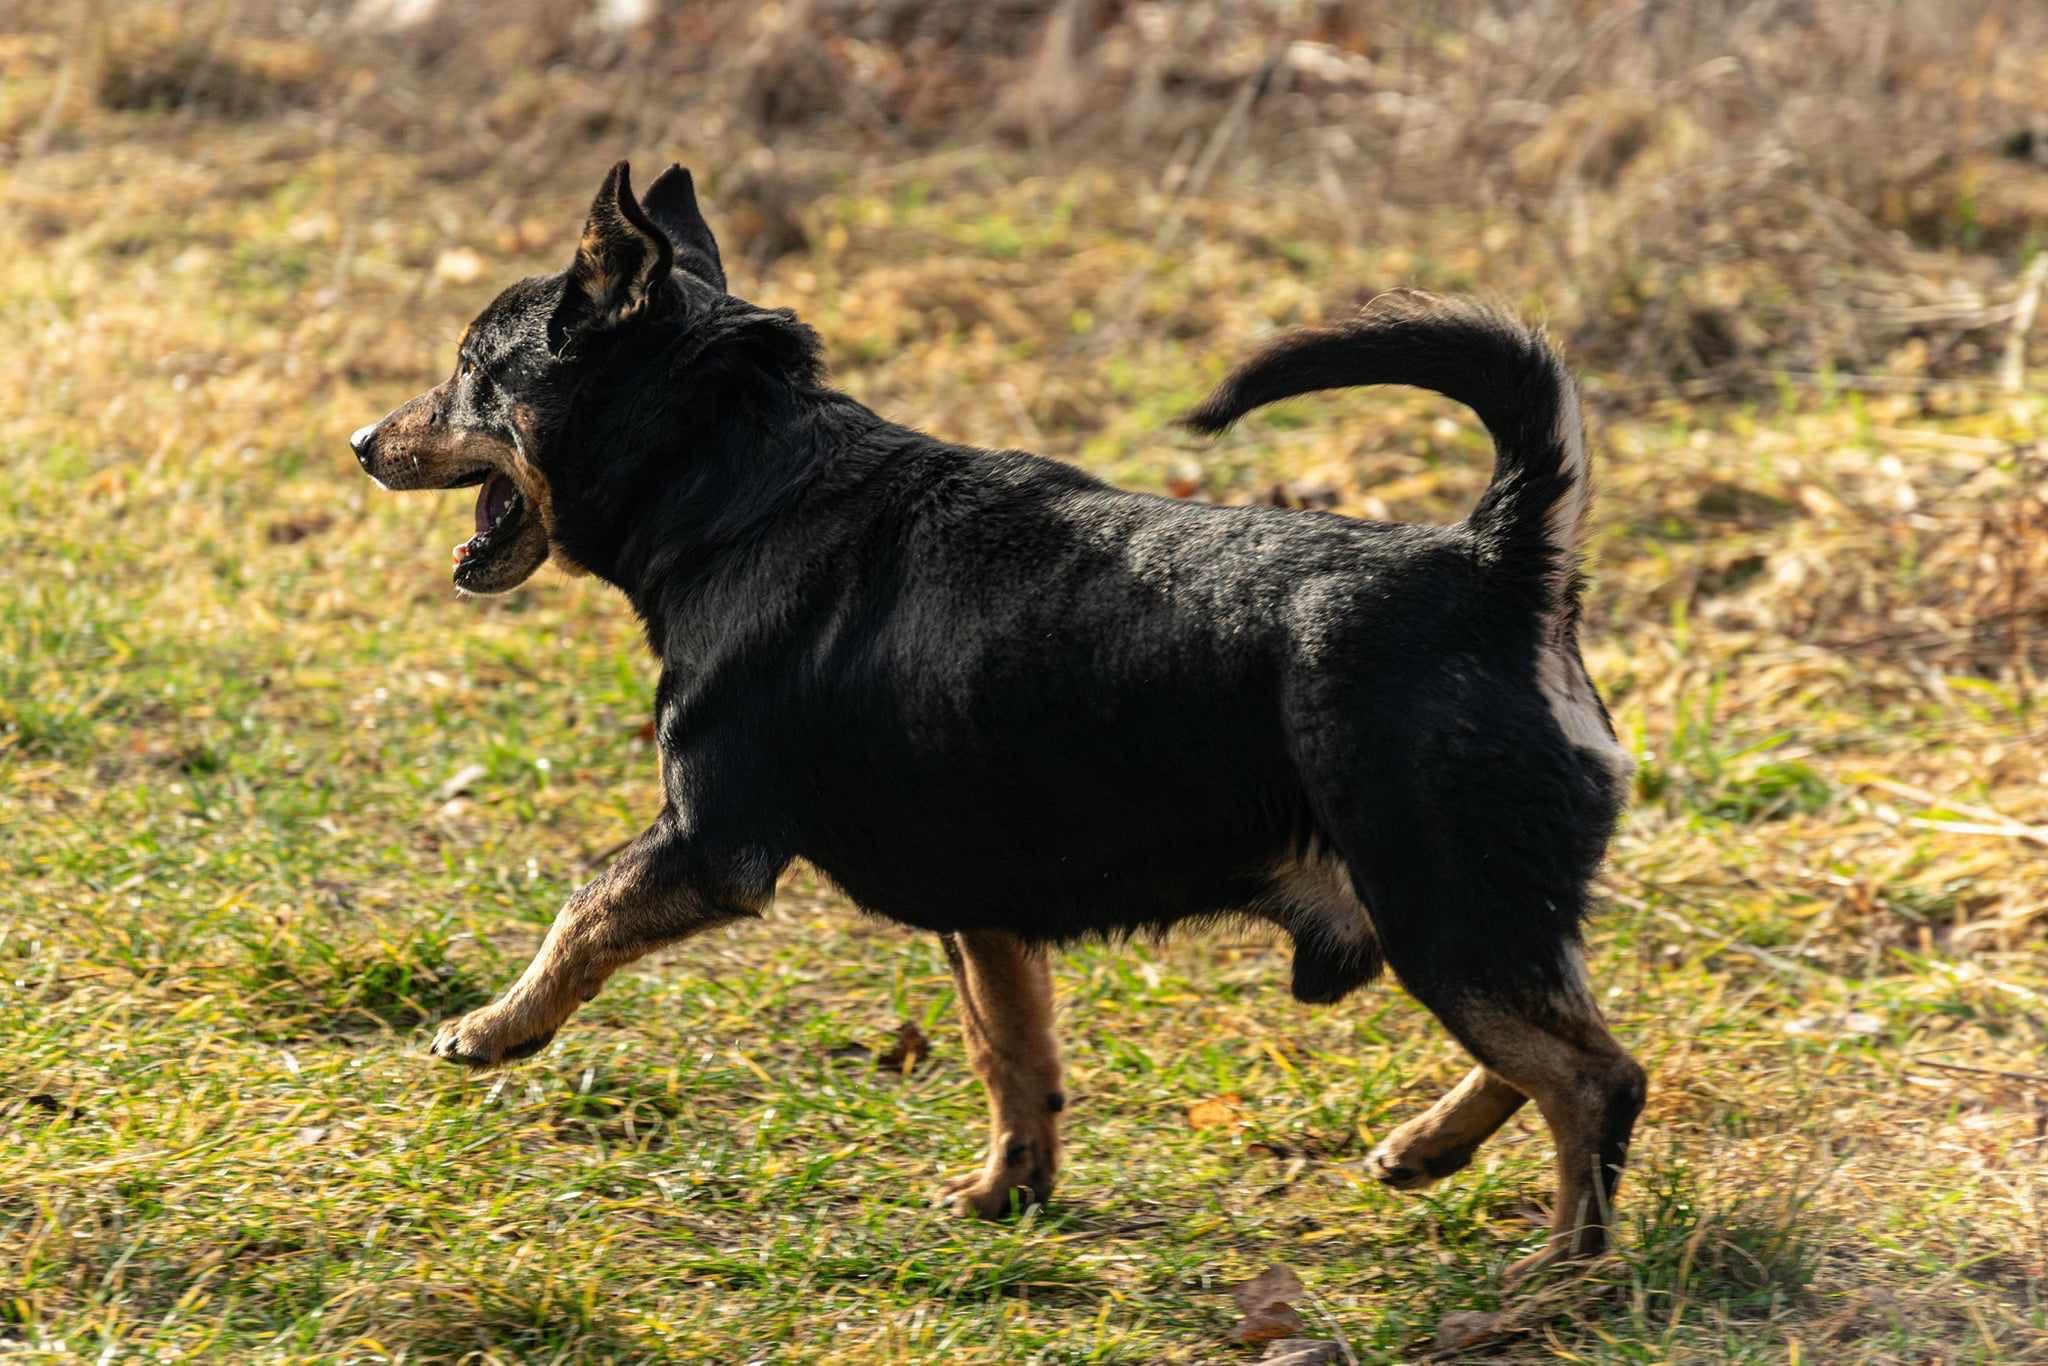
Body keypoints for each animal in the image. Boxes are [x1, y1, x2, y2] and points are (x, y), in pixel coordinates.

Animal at [352, 162, 1646, 1286]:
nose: (363, 442)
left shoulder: (710, 845)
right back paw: (1429, 1148)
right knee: (1549, 1046)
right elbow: (1011, 1055)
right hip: (1471, 917)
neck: (741, 483)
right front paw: (1007, 1192)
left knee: (1595, 1078)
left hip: (1442, 904)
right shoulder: (984, 918)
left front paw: (495, 1027)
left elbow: (581, 911)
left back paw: (1556, 1275)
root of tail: (1497, 563)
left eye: (468, 369)